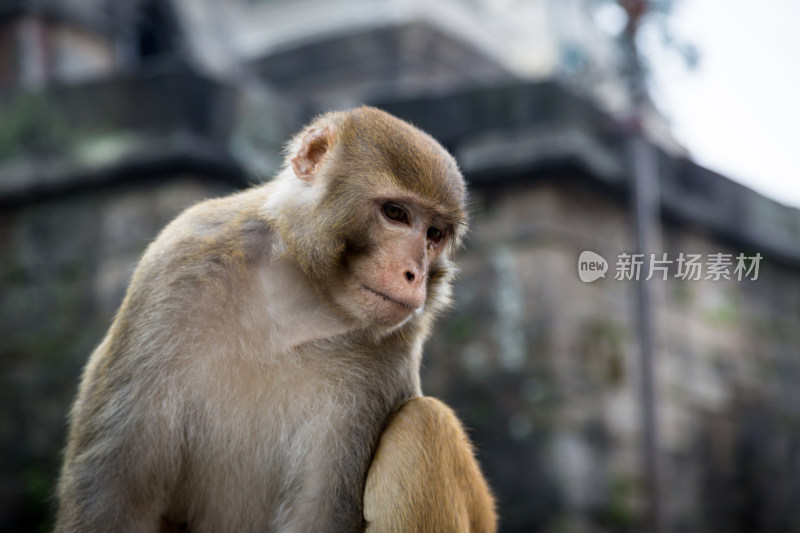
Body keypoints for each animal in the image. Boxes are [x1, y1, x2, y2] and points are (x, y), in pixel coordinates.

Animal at [56, 106, 494, 528]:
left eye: (434, 234)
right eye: (395, 213)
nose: (414, 274)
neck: (297, 298)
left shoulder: (391, 349)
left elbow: (318, 510)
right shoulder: (176, 268)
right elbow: (117, 494)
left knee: (423, 424)